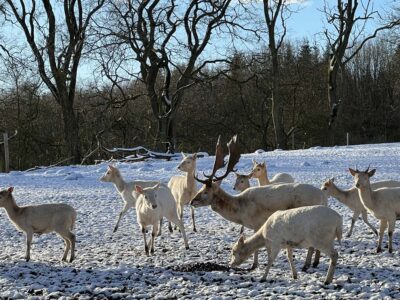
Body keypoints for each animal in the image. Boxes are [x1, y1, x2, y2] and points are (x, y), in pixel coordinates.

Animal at [191, 135, 328, 270]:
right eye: (201, 188)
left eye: (205, 192)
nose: (192, 201)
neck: (241, 211)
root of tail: (323, 196)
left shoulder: (257, 223)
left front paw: (254, 264)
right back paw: (315, 262)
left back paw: (306, 265)